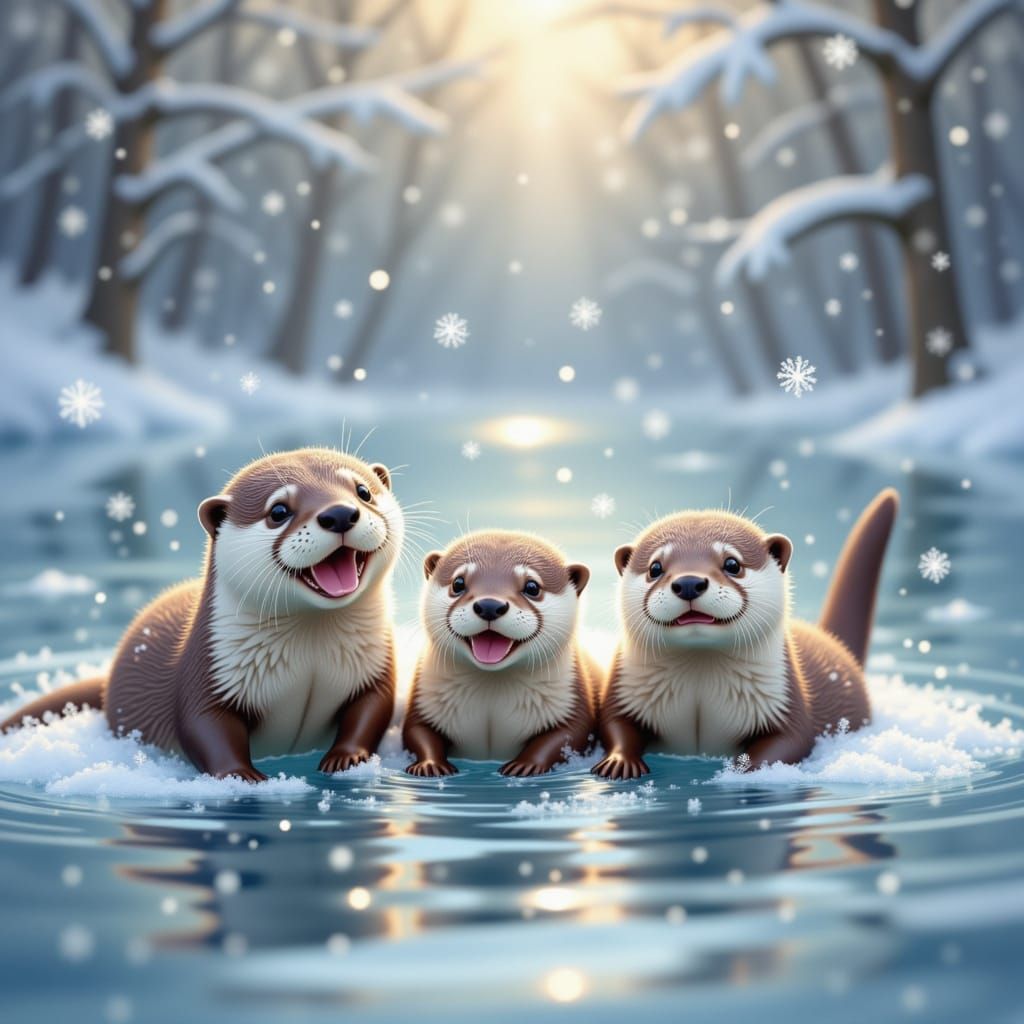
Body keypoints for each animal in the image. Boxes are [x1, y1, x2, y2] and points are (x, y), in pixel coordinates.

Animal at [1, 448, 405, 781]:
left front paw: (348, 758)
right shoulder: (208, 670)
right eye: (278, 511)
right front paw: (240, 776)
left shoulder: (374, 668)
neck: (312, 660)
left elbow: (372, 710)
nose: (339, 513)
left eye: (363, 491)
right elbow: (204, 725)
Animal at [403, 530, 597, 777]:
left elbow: (568, 735)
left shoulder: (571, 700)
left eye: (532, 587)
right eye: (458, 582)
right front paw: (430, 765)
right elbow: (416, 731)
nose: (489, 605)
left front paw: (525, 765)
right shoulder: (423, 699)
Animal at [593, 489, 898, 778]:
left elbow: (792, 739)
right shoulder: (623, 689)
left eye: (732, 564)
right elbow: (613, 723)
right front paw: (619, 762)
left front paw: (744, 771)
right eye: (655, 568)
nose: (689, 582)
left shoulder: (784, 698)